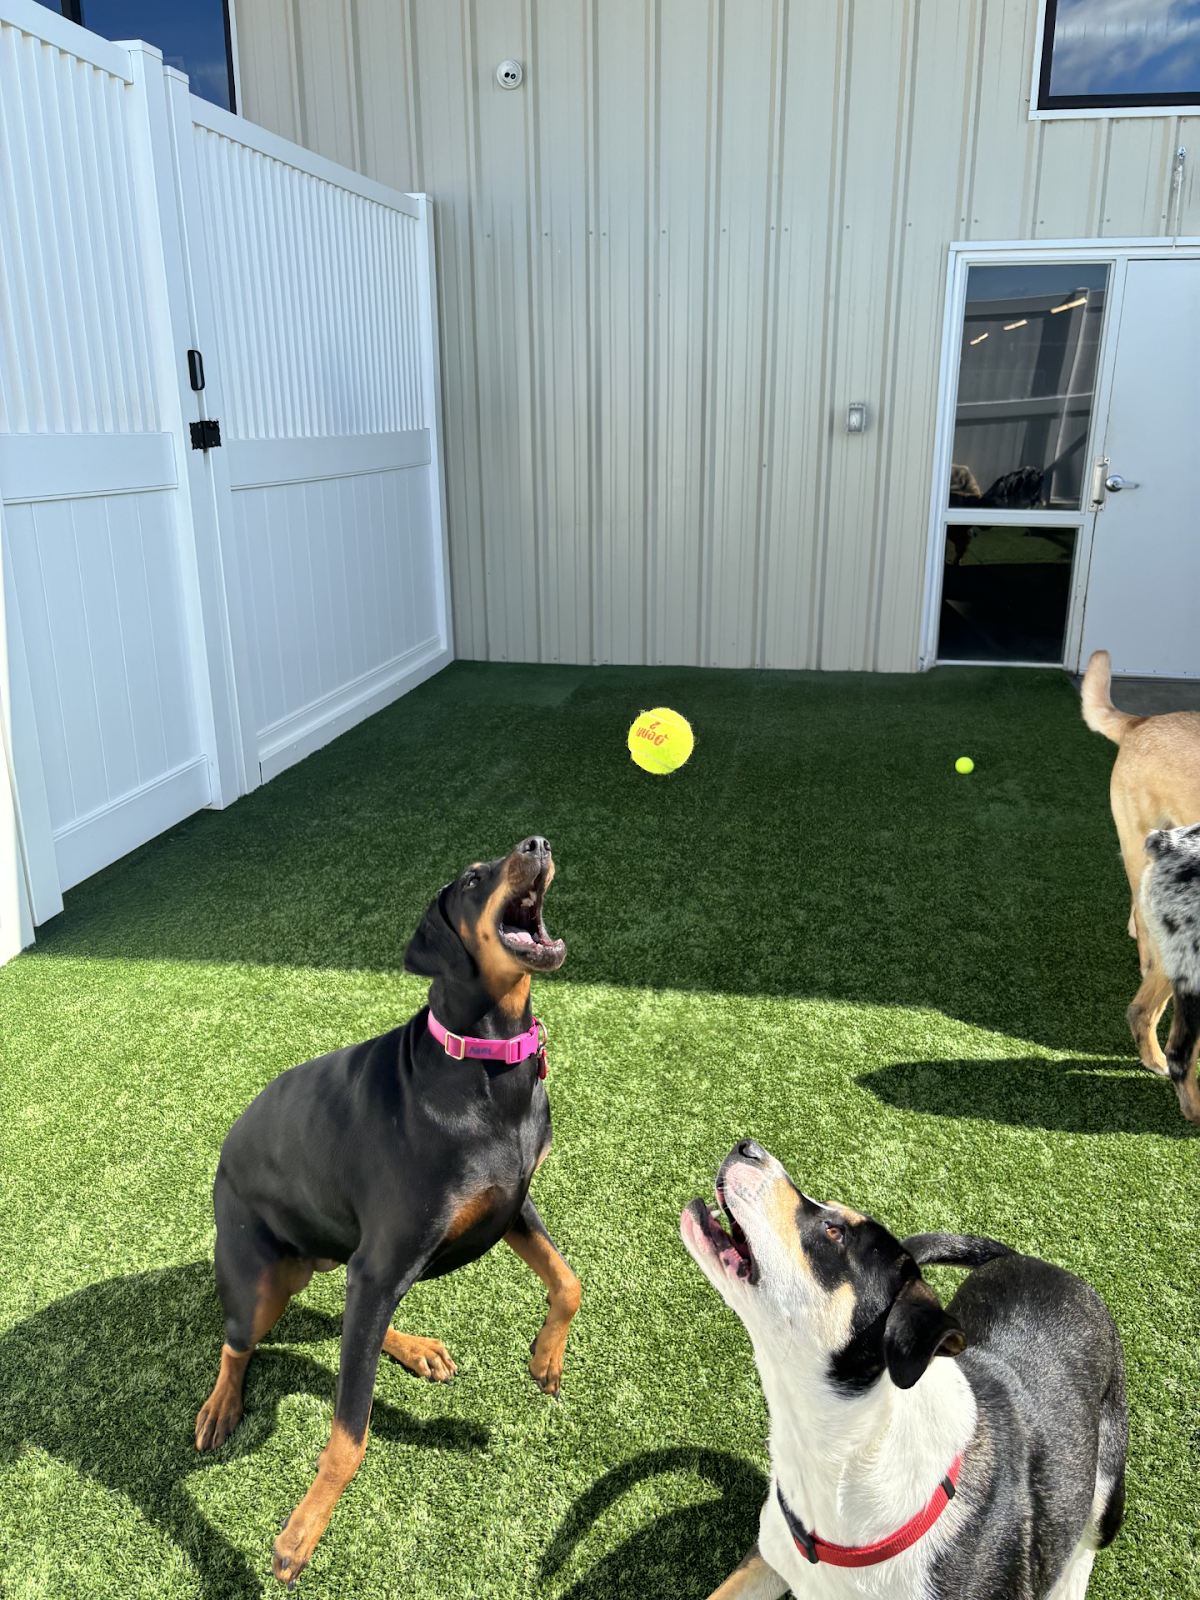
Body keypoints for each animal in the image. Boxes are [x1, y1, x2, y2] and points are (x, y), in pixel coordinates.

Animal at [195, 836, 579, 1587]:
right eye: (473, 879)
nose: (537, 843)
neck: (487, 1064)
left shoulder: (511, 1202)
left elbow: (569, 1279)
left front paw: (545, 1360)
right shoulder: (383, 1262)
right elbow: (348, 1435)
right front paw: (301, 1533)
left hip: (348, 1258)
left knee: (348, 1323)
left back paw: (415, 1348)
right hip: (261, 1279)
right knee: (238, 1341)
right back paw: (221, 1404)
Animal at [681, 1140, 1127, 1599]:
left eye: (835, 1233)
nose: (748, 1147)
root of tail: (1023, 1256)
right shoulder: (770, 1555)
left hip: (1107, 1482)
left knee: (1086, 1543)